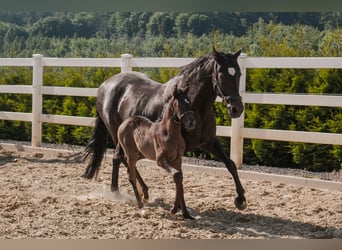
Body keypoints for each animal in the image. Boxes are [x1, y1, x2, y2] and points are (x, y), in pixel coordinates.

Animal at [115, 85, 195, 219]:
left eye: (189, 102)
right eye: (178, 104)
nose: (191, 122)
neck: (170, 134)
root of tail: (124, 123)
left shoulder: (177, 159)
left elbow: (180, 178)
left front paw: (185, 213)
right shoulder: (161, 160)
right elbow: (176, 175)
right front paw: (174, 209)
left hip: (140, 154)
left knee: (130, 168)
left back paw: (144, 195)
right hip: (131, 154)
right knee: (131, 176)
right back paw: (141, 208)